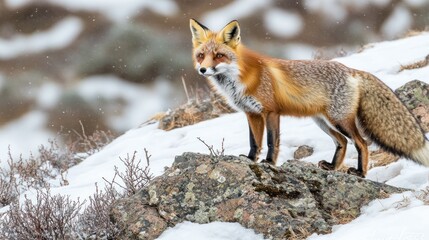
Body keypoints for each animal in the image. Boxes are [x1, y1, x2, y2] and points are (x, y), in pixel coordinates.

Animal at [190, 18, 428, 177]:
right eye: (201, 56)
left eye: (219, 55)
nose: (202, 70)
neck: (241, 80)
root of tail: (352, 70)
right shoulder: (251, 113)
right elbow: (254, 142)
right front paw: (250, 160)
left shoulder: (271, 112)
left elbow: (271, 142)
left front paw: (269, 163)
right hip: (322, 121)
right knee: (342, 142)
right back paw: (332, 167)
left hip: (339, 120)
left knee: (361, 142)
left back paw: (360, 173)